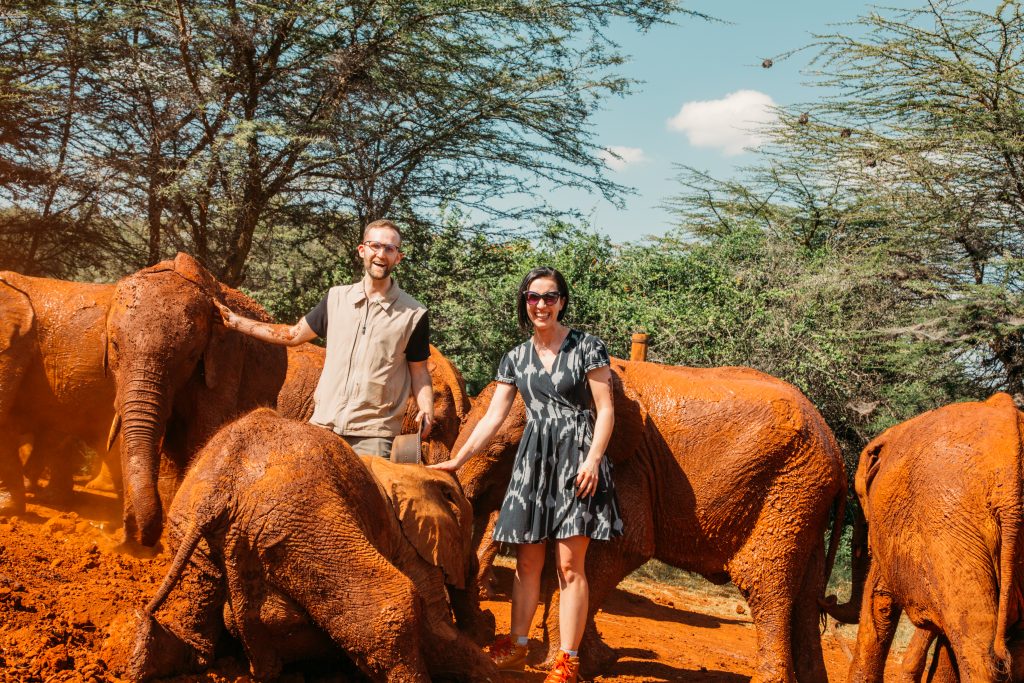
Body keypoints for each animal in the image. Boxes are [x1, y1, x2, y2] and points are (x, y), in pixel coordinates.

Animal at [130, 409, 497, 679]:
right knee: (392, 606)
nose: (490, 623)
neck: (406, 470)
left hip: (191, 525)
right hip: (304, 520)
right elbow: (435, 629)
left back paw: (147, 655)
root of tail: (221, 489)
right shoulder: (409, 546)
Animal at [456, 358, 847, 683]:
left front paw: (566, 665)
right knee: (807, 598)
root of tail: (836, 449)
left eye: (499, 451)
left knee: (767, 584)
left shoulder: (622, 471)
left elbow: (619, 549)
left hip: (789, 490)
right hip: (805, 498)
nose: (487, 625)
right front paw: (587, 662)